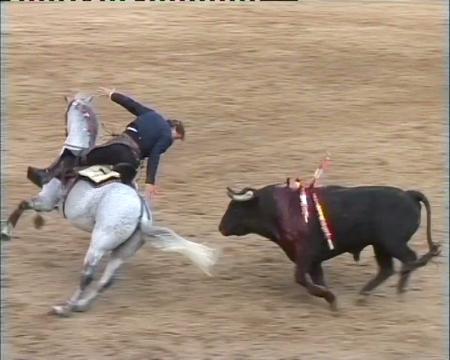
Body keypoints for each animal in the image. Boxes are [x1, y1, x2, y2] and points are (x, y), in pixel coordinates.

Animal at [1, 93, 220, 318]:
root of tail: (141, 216)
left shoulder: (45, 200)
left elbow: (23, 204)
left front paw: (6, 231)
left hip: (100, 243)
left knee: (88, 276)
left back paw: (65, 307)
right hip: (122, 252)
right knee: (107, 281)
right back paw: (81, 305)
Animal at [220, 184, 442, 310]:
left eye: (235, 207)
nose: (220, 227)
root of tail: (409, 195)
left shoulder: (305, 255)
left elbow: (300, 278)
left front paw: (329, 297)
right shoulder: (313, 260)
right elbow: (318, 280)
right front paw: (330, 298)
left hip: (392, 242)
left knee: (410, 259)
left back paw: (400, 289)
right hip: (380, 245)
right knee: (387, 269)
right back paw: (365, 295)